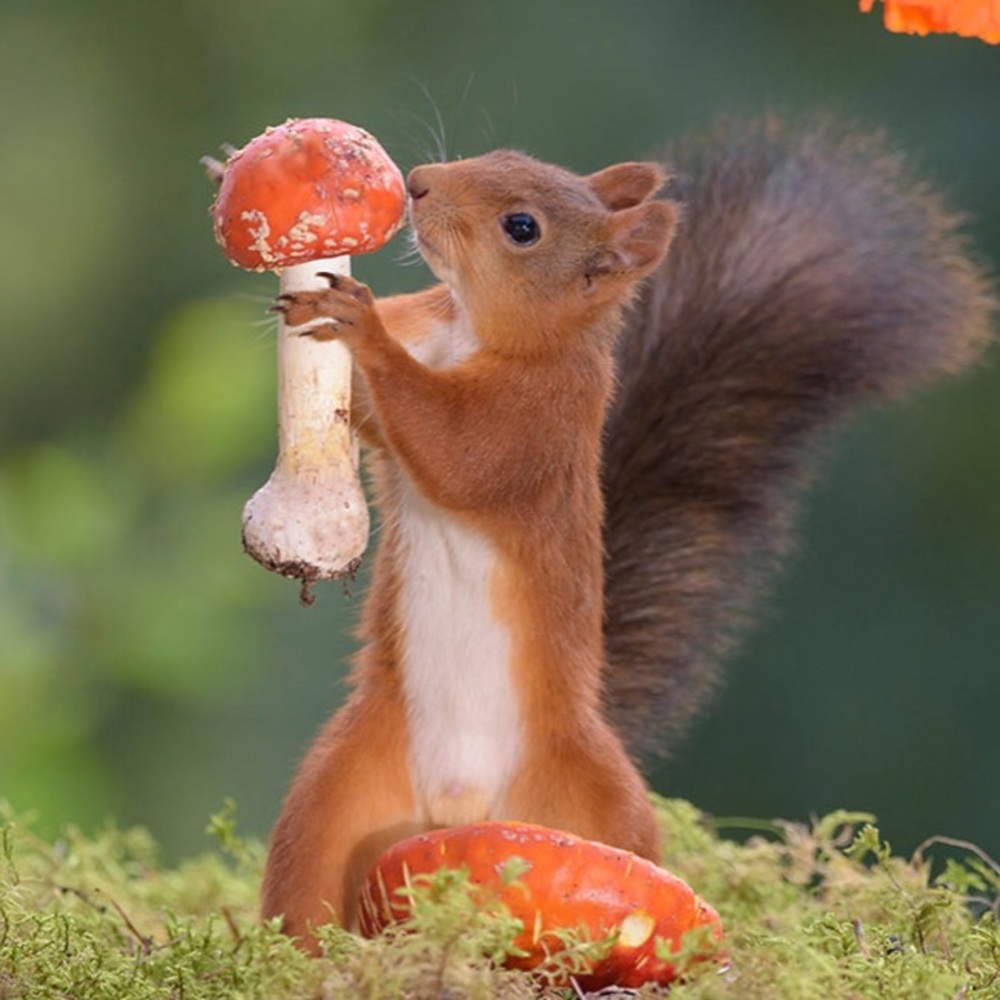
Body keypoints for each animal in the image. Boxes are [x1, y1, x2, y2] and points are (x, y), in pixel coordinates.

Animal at [261, 115, 994, 949]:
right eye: (505, 155)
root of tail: (459, 804)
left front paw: (361, 322)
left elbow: (456, 451)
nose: (416, 182)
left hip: (598, 806)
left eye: (523, 227)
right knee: (308, 878)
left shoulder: (542, 423)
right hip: (341, 798)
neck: (475, 332)